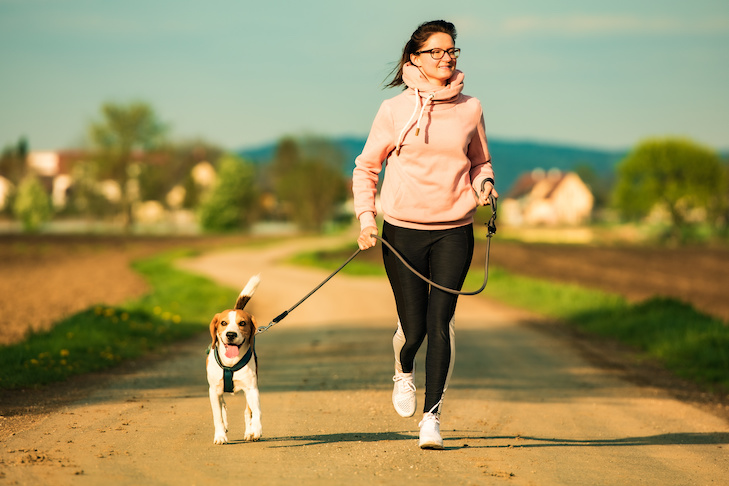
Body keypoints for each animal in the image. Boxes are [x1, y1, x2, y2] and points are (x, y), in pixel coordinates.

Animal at [205, 274, 262, 444]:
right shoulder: (213, 390)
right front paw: (220, 436)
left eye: (242, 323)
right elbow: (217, 416)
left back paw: (249, 432)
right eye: (223, 323)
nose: (231, 334)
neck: (230, 363)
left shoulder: (252, 389)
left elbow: (256, 412)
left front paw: (255, 430)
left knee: (248, 412)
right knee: (222, 406)